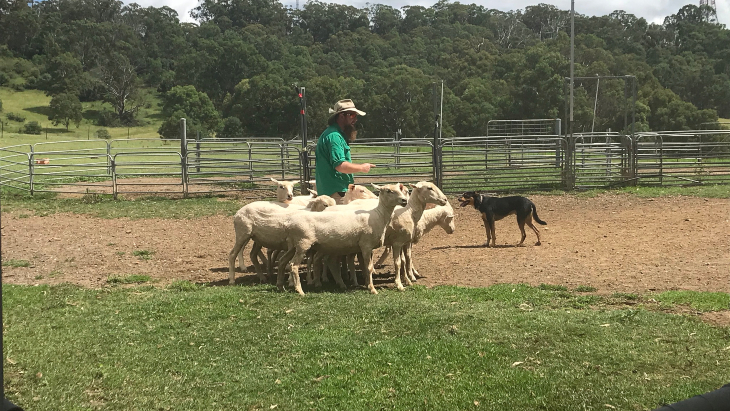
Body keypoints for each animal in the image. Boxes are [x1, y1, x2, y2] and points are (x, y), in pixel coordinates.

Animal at [276, 184, 410, 296]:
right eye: (389, 191)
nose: (404, 201)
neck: (379, 215)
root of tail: (290, 224)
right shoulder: (366, 245)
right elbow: (369, 267)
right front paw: (372, 289)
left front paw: (368, 285)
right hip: (303, 244)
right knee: (293, 265)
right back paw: (299, 290)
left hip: (294, 245)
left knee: (282, 261)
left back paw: (280, 286)